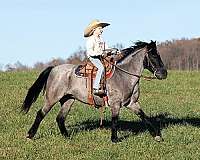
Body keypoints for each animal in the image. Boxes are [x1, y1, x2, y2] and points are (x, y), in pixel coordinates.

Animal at [21, 40, 167, 142]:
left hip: (68, 99)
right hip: (52, 98)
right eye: (153, 56)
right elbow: (115, 120)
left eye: (159, 55)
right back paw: (29, 135)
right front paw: (114, 139)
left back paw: (67, 137)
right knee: (41, 114)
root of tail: (54, 68)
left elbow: (144, 117)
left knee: (60, 118)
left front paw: (157, 136)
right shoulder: (115, 104)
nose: (164, 73)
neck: (124, 76)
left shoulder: (132, 103)